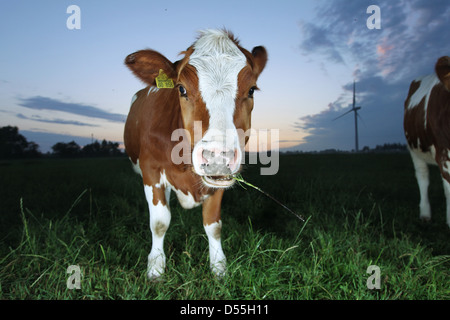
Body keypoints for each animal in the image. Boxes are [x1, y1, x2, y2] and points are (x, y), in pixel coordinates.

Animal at [123, 30, 268, 280]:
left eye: (251, 90)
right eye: (181, 89)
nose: (218, 156)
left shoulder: (218, 181)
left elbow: (213, 224)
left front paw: (219, 268)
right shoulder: (151, 170)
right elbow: (159, 222)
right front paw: (156, 268)